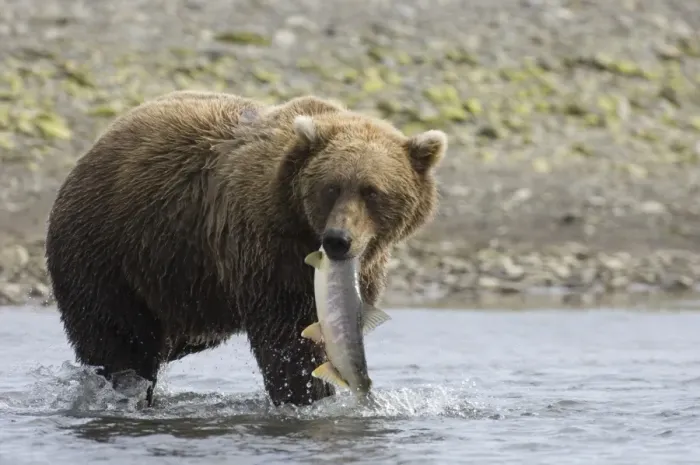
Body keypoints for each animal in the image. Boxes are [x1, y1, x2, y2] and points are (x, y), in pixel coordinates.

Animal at [45, 90, 448, 407]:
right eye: (331, 187)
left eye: (372, 191)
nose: (338, 239)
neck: (298, 225)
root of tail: (93, 149)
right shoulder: (263, 248)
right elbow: (288, 342)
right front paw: (306, 395)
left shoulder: (364, 269)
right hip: (110, 251)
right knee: (119, 342)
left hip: (178, 283)